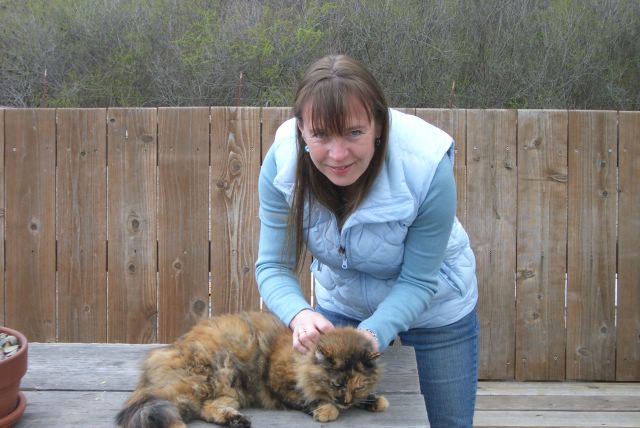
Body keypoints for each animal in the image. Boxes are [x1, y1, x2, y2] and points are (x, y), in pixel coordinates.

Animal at [116, 311, 388, 428]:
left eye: (358, 386)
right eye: (336, 384)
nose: (345, 400)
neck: (302, 361)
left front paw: (374, 401)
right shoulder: (278, 382)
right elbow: (311, 400)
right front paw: (326, 410)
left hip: (227, 391)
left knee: (208, 409)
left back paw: (236, 420)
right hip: (202, 382)